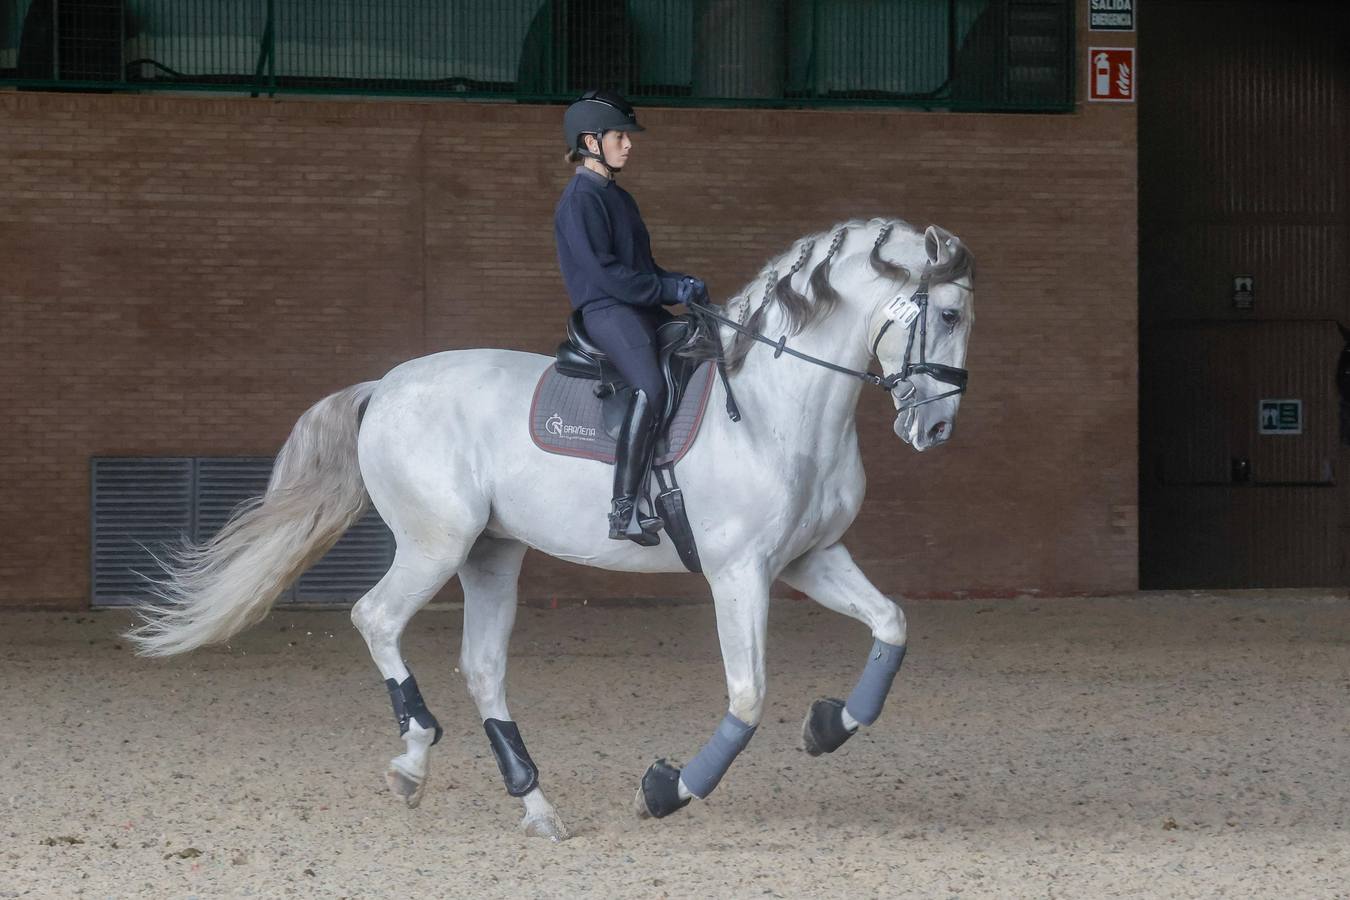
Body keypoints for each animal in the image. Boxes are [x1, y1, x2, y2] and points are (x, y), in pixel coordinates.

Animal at [126, 218, 977, 847]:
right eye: (950, 314)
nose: (935, 429)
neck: (775, 406)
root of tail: (387, 385)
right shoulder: (740, 572)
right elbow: (747, 695)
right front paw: (667, 791)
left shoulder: (809, 559)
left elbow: (892, 625)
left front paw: (830, 726)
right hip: (435, 543)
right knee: (377, 619)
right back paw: (414, 759)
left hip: (490, 554)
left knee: (482, 667)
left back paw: (534, 805)